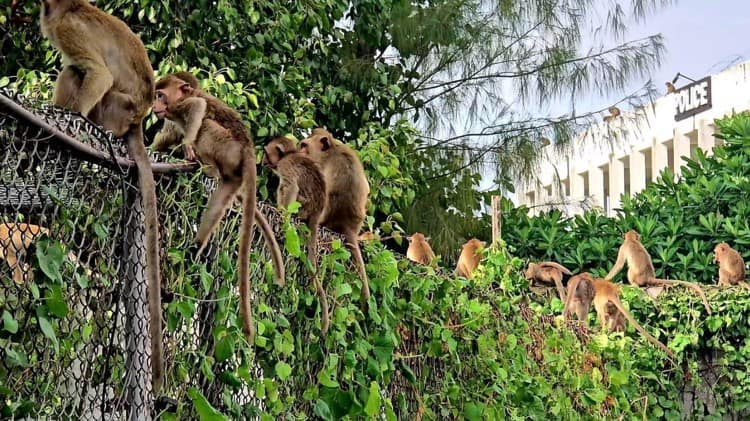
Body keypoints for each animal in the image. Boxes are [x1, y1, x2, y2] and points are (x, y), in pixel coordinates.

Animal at [39, 0, 166, 388]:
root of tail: (137, 120)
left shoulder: (67, 29)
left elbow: (99, 73)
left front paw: (72, 116)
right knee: (73, 70)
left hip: (112, 110)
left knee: (80, 72)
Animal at [151, 73, 286, 342]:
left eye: (161, 95)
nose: (155, 104)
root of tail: (248, 148)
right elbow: (166, 137)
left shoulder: (179, 107)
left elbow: (198, 108)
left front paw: (187, 145)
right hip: (233, 173)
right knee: (218, 202)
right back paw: (195, 248)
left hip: (225, 145)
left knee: (206, 124)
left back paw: (205, 164)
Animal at [262, 136, 330, 334]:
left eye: (266, 153)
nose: (262, 162)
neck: (290, 154)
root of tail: (316, 212)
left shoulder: (285, 165)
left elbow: (290, 186)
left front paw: (282, 214)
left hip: (302, 205)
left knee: (285, 188)